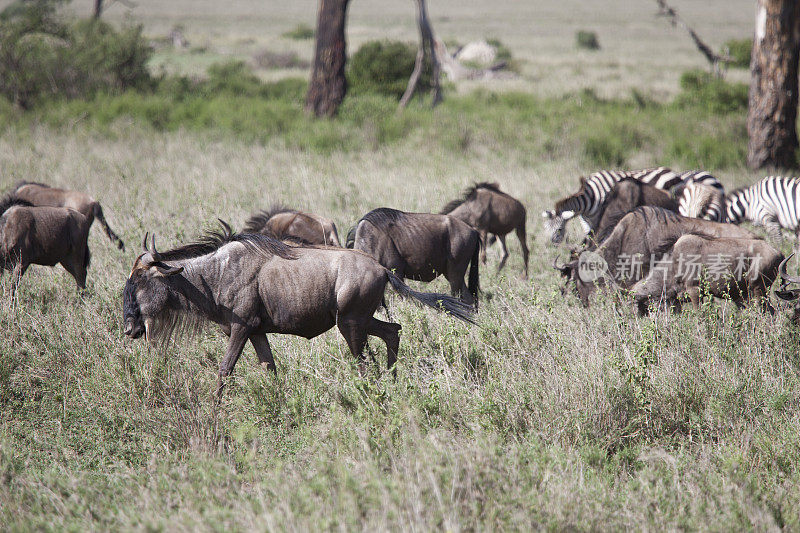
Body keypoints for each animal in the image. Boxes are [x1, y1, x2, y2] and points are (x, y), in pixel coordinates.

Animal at [540, 165, 680, 244]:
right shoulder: (586, 221)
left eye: (559, 229)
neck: (590, 199)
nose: (549, 245)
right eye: (545, 228)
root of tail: (670, 171)